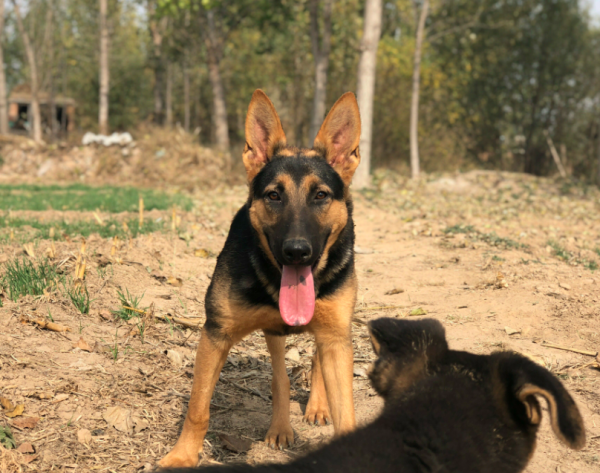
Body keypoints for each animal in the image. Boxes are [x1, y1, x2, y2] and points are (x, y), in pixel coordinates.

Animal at [159, 90, 364, 466]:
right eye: (273, 195)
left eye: (321, 195)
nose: (297, 251)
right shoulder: (216, 335)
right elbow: (198, 408)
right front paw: (182, 456)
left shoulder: (336, 339)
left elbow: (346, 413)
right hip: (273, 333)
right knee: (280, 376)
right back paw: (281, 426)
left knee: (315, 359)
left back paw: (317, 405)